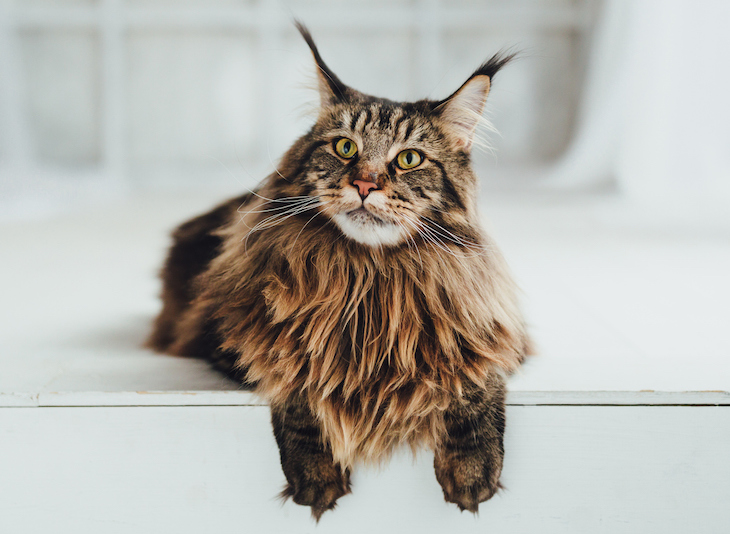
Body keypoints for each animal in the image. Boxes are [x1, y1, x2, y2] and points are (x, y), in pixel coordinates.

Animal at [146, 23, 528, 520]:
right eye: (345, 148)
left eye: (409, 159)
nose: (364, 184)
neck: (369, 276)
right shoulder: (241, 336)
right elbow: (301, 377)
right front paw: (316, 473)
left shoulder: (496, 333)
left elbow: (475, 380)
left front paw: (472, 468)